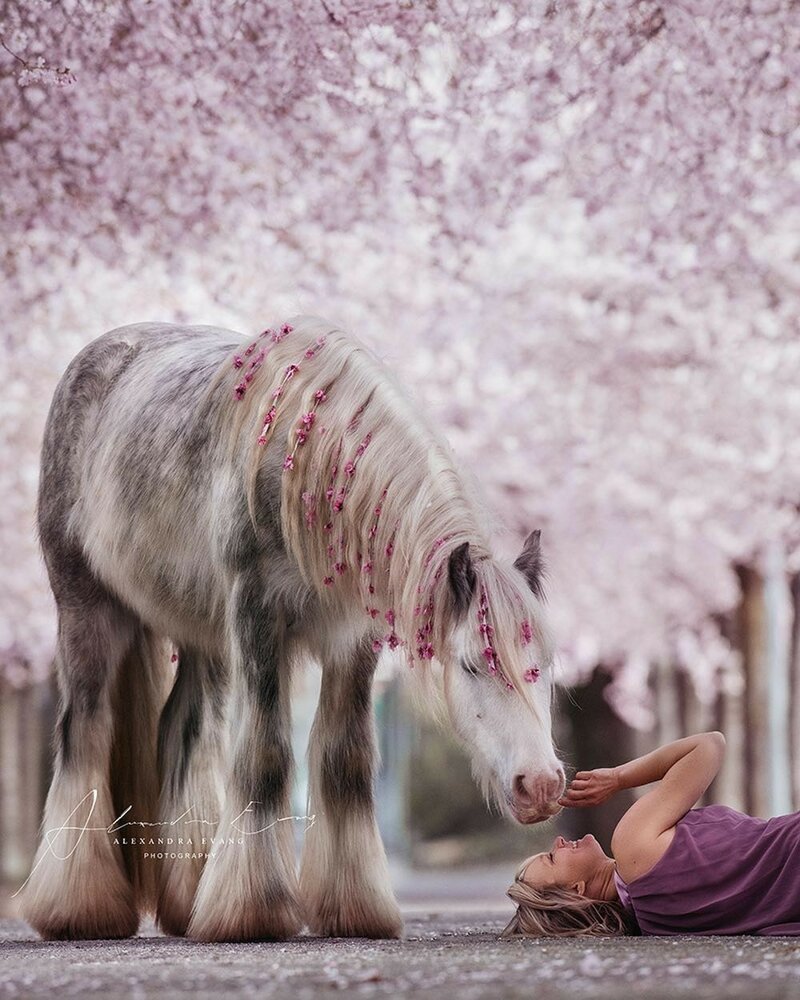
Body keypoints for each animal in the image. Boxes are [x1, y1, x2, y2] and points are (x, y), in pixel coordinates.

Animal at [17, 316, 564, 940]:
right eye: (473, 664)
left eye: (547, 666)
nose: (541, 785)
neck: (310, 473)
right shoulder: (257, 615)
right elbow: (265, 755)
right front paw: (252, 911)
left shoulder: (352, 640)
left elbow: (346, 761)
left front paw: (352, 908)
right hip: (86, 609)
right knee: (84, 728)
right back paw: (77, 907)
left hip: (203, 635)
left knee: (185, 729)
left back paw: (188, 901)